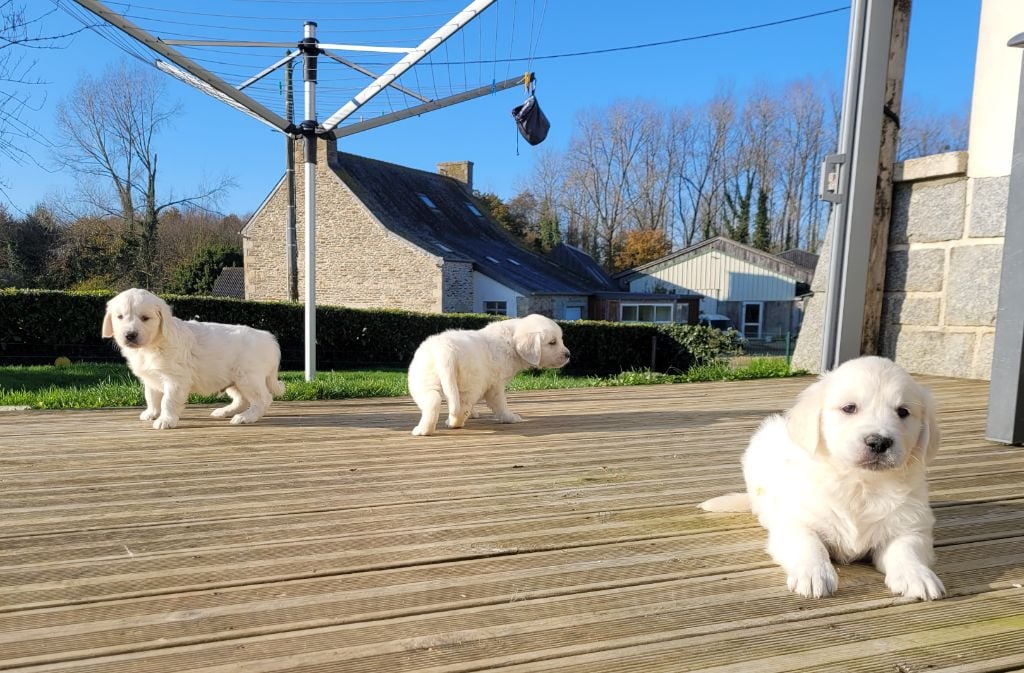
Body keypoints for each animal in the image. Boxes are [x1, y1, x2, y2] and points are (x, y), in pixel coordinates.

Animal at [102, 288, 285, 429]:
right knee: (242, 400)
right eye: (120, 317)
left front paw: (165, 421)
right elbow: (151, 397)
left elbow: (167, 401)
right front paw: (151, 413)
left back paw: (245, 417)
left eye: (145, 318)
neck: (153, 344)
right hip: (232, 379)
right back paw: (225, 411)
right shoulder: (151, 378)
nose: (130, 335)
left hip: (248, 377)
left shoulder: (175, 379)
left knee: (263, 399)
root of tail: (270, 339)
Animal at [408, 314, 570, 436]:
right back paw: (454, 423)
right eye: (552, 342)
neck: (511, 340)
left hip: (423, 381)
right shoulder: (496, 385)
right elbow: (500, 404)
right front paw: (509, 417)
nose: (568, 355)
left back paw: (423, 430)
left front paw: (473, 414)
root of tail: (445, 350)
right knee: (460, 407)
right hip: (469, 383)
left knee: (433, 401)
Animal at [700, 356, 943, 600]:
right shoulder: (794, 520)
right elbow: (809, 543)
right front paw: (814, 574)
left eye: (903, 412)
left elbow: (907, 549)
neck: (860, 484)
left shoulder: (911, 525)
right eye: (849, 408)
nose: (879, 442)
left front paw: (917, 575)